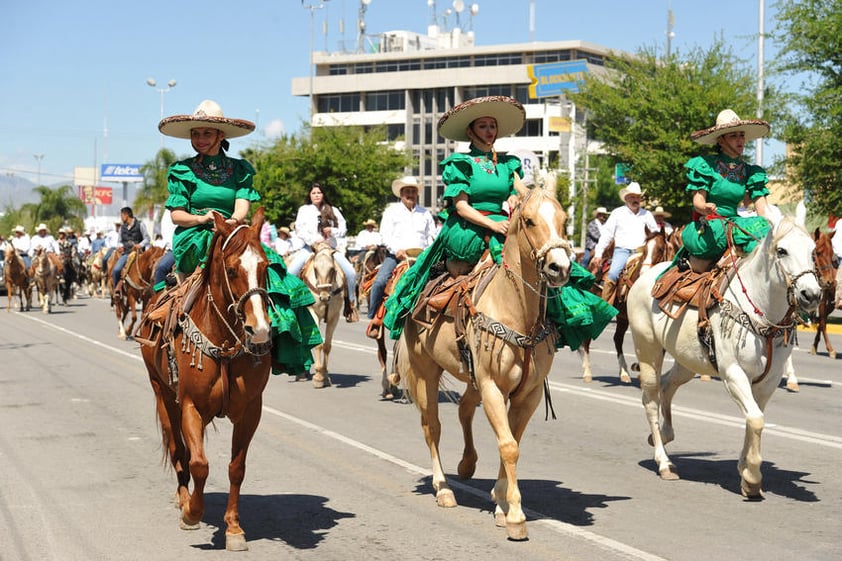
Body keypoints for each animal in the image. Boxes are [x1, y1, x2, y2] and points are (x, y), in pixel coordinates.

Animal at [136, 207, 270, 552]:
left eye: (265, 266)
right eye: (232, 270)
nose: (260, 330)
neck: (222, 340)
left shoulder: (251, 412)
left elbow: (236, 468)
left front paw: (233, 528)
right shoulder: (189, 406)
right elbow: (198, 463)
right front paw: (192, 513)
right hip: (162, 394)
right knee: (178, 451)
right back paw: (183, 498)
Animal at [298, 243, 344, 388]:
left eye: (332, 269)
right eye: (315, 269)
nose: (324, 297)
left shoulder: (334, 317)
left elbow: (327, 346)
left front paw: (325, 375)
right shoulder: (313, 314)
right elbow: (318, 344)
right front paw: (318, 377)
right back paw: (301, 373)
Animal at [394, 187, 572, 540]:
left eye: (563, 219)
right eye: (529, 220)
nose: (560, 267)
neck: (517, 312)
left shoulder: (527, 395)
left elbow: (512, 442)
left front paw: (500, 501)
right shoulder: (492, 386)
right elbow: (508, 445)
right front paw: (515, 515)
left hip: (471, 378)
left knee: (464, 409)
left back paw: (467, 464)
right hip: (426, 372)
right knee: (432, 426)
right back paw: (443, 489)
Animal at [576, 225, 676, 382]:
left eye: (660, 249)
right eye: (644, 250)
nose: (644, 273)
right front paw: (640, 368)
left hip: (622, 317)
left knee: (617, 339)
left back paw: (624, 372)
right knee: (587, 338)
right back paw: (587, 372)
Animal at [628, 217, 816, 496]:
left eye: (813, 251)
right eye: (782, 251)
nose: (811, 295)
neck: (762, 315)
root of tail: (645, 277)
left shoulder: (768, 381)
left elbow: (754, 418)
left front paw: (745, 469)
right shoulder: (733, 374)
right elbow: (756, 419)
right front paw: (751, 478)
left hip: (687, 362)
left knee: (668, 385)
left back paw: (663, 433)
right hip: (648, 351)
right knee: (650, 399)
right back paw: (664, 463)